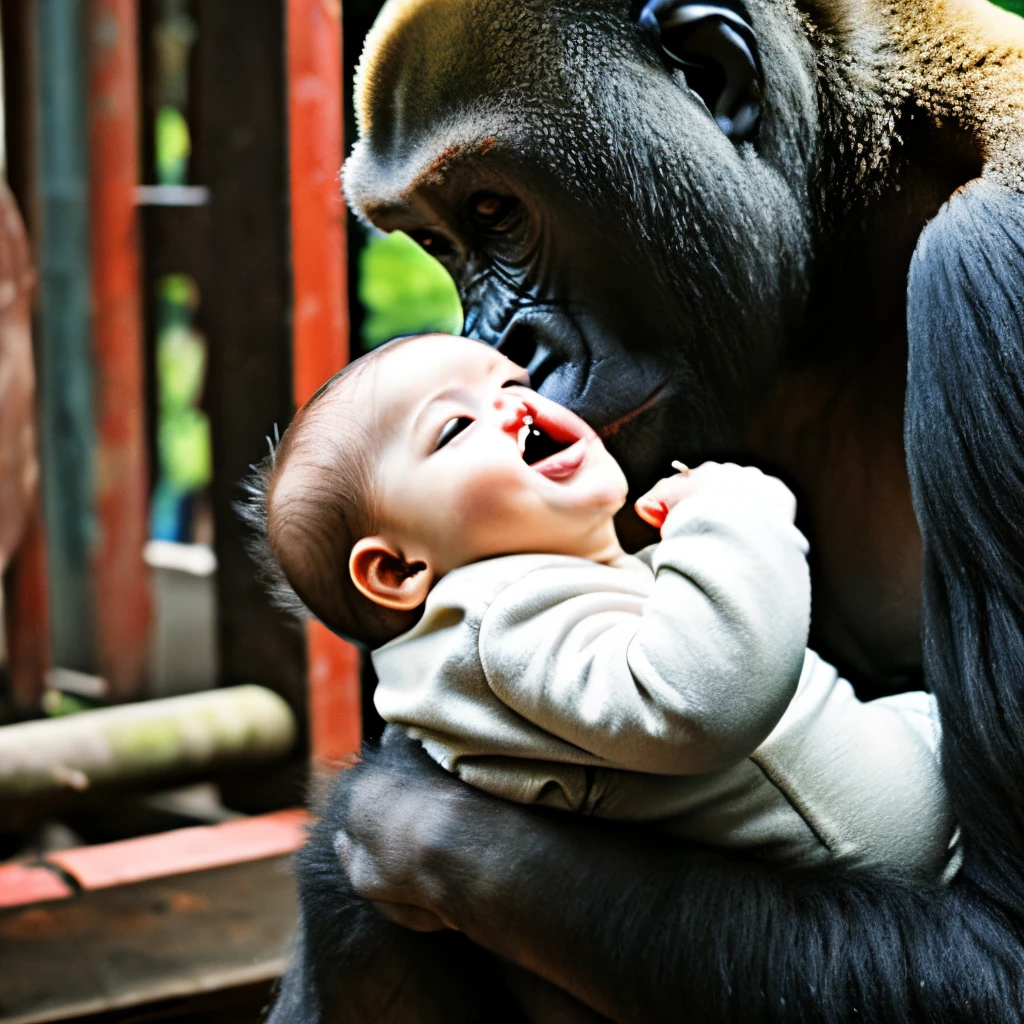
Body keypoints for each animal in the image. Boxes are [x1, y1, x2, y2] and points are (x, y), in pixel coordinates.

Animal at [268, 0, 1024, 1019]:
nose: (501, 349)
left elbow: (998, 947)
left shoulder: (990, 258)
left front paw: (392, 818)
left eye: (495, 211)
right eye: (437, 244)